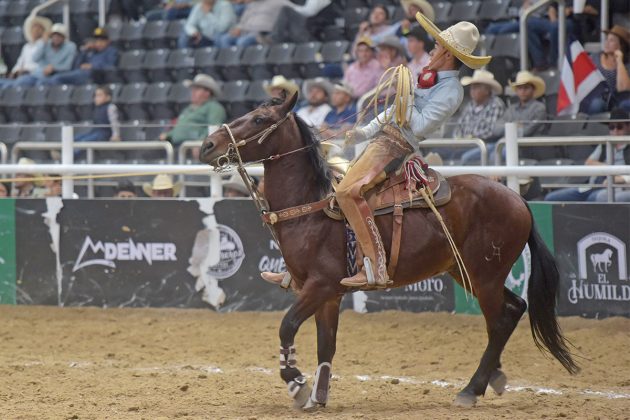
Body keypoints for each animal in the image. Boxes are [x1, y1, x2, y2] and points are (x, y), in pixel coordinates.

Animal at [200, 94, 580, 410]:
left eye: (259, 118)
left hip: (484, 276)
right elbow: (326, 345)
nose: (207, 144)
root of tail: (518, 199)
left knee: (500, 320)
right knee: (512, 310)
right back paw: (493, 378)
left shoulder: (319, 286)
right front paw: (319, 397)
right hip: (470, 274)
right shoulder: (329, 296)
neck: (311, 208)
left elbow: (286, 326)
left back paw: (471, 390)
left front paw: (296, 385)